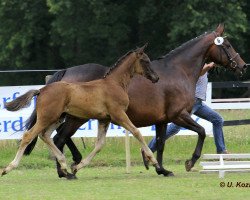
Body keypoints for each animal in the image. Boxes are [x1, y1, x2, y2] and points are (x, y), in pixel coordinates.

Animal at [1, 44, 159, 177]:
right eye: (145, 61)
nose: (156, 78)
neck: (114, 84)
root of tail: (41, 90)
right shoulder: (118, 115)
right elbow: (137, 132)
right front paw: (154, 162)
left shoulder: (104, 119)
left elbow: (99, 144)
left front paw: (77, 167)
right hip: (47, 117)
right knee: (30, 135)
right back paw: (9, 168)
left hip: (57, 118)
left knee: (46, 135)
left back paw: (64, 165)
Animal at [24, 23, 246, 180]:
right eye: (227, 45)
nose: (242, 66)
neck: (178, 71)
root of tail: (66, 72)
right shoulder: (179, 115)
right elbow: (201, 132)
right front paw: (189, 162)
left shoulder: (162, 120)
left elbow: (161, 143)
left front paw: (161, 168)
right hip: (75, 118)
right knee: (60, 138)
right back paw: (68, 170)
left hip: (66, 116)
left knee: (57, 137)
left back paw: (69, 166)